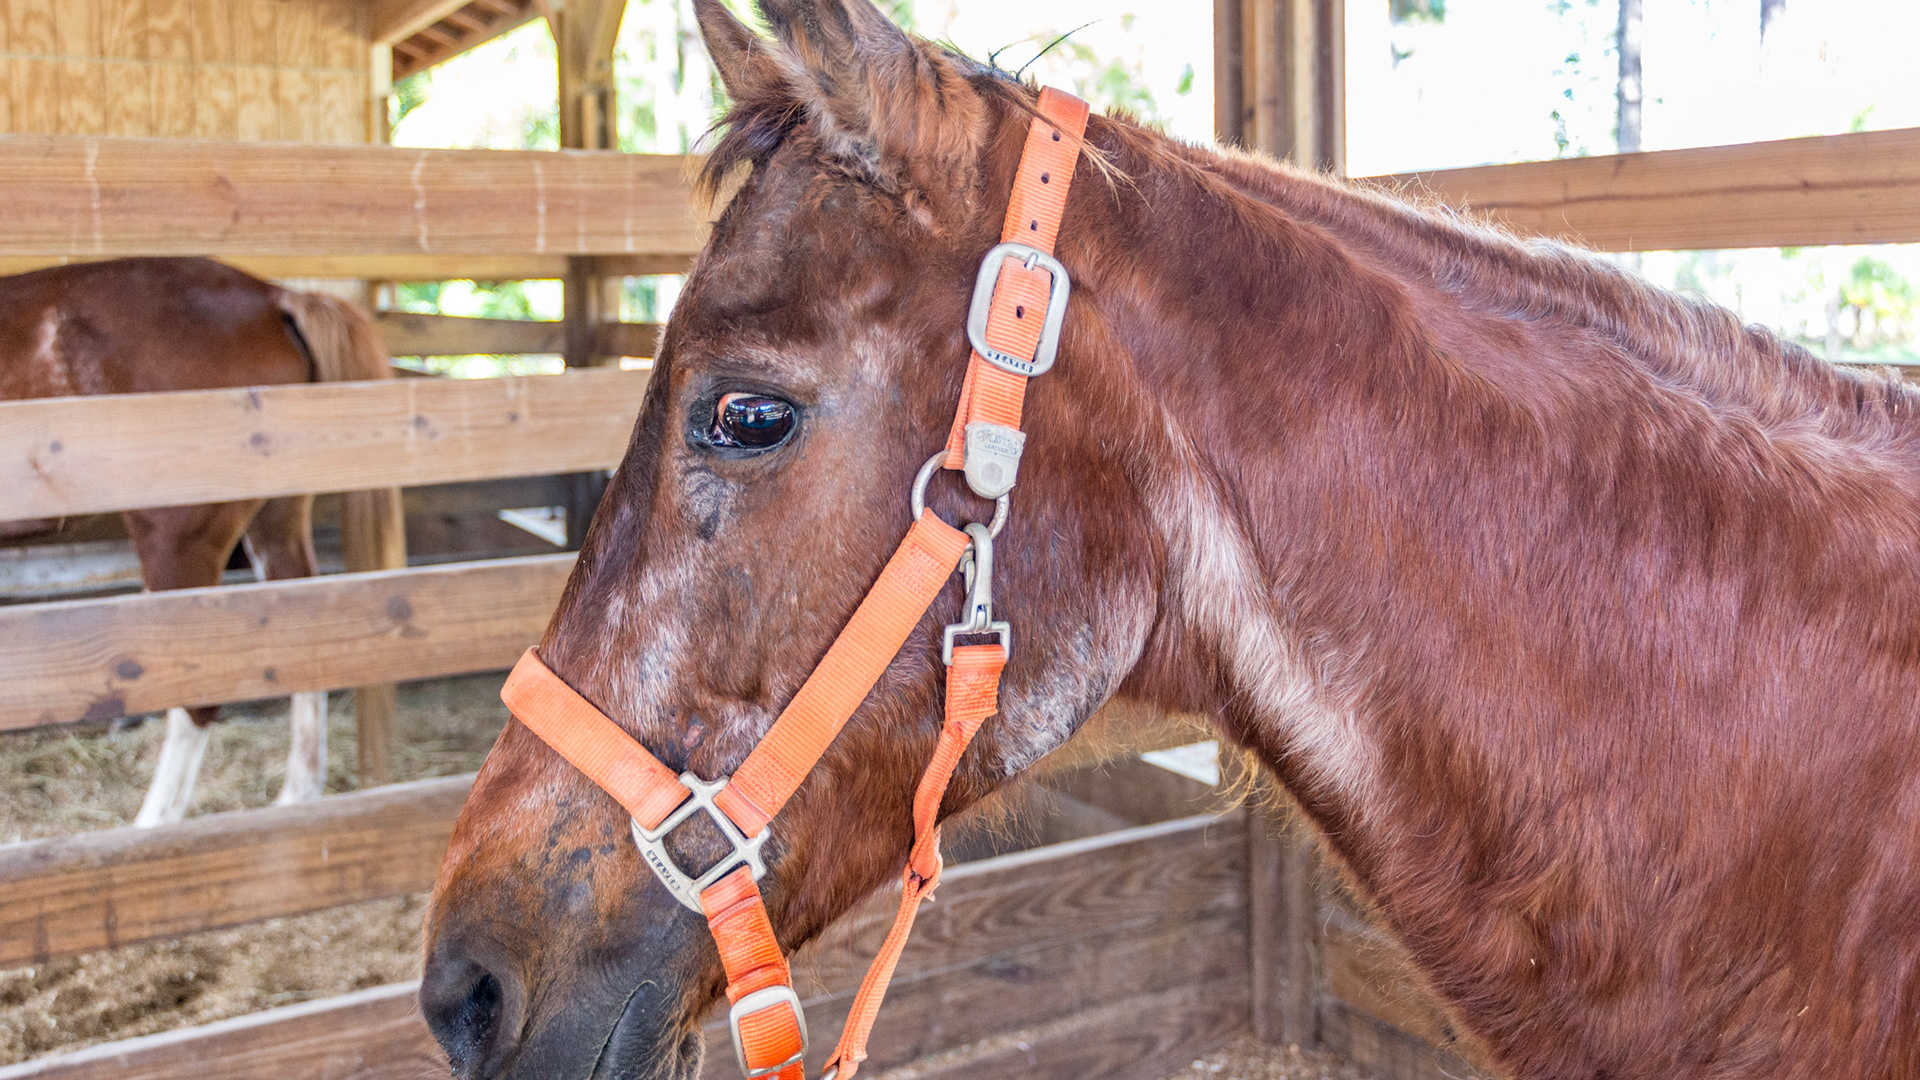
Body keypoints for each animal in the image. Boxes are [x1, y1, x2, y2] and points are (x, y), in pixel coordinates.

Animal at [0, 257, 392, 826]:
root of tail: (272, 296)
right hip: (275, 519)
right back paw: (295, 796)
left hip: (176, 541)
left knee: (198, 697)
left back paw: (154, 825)